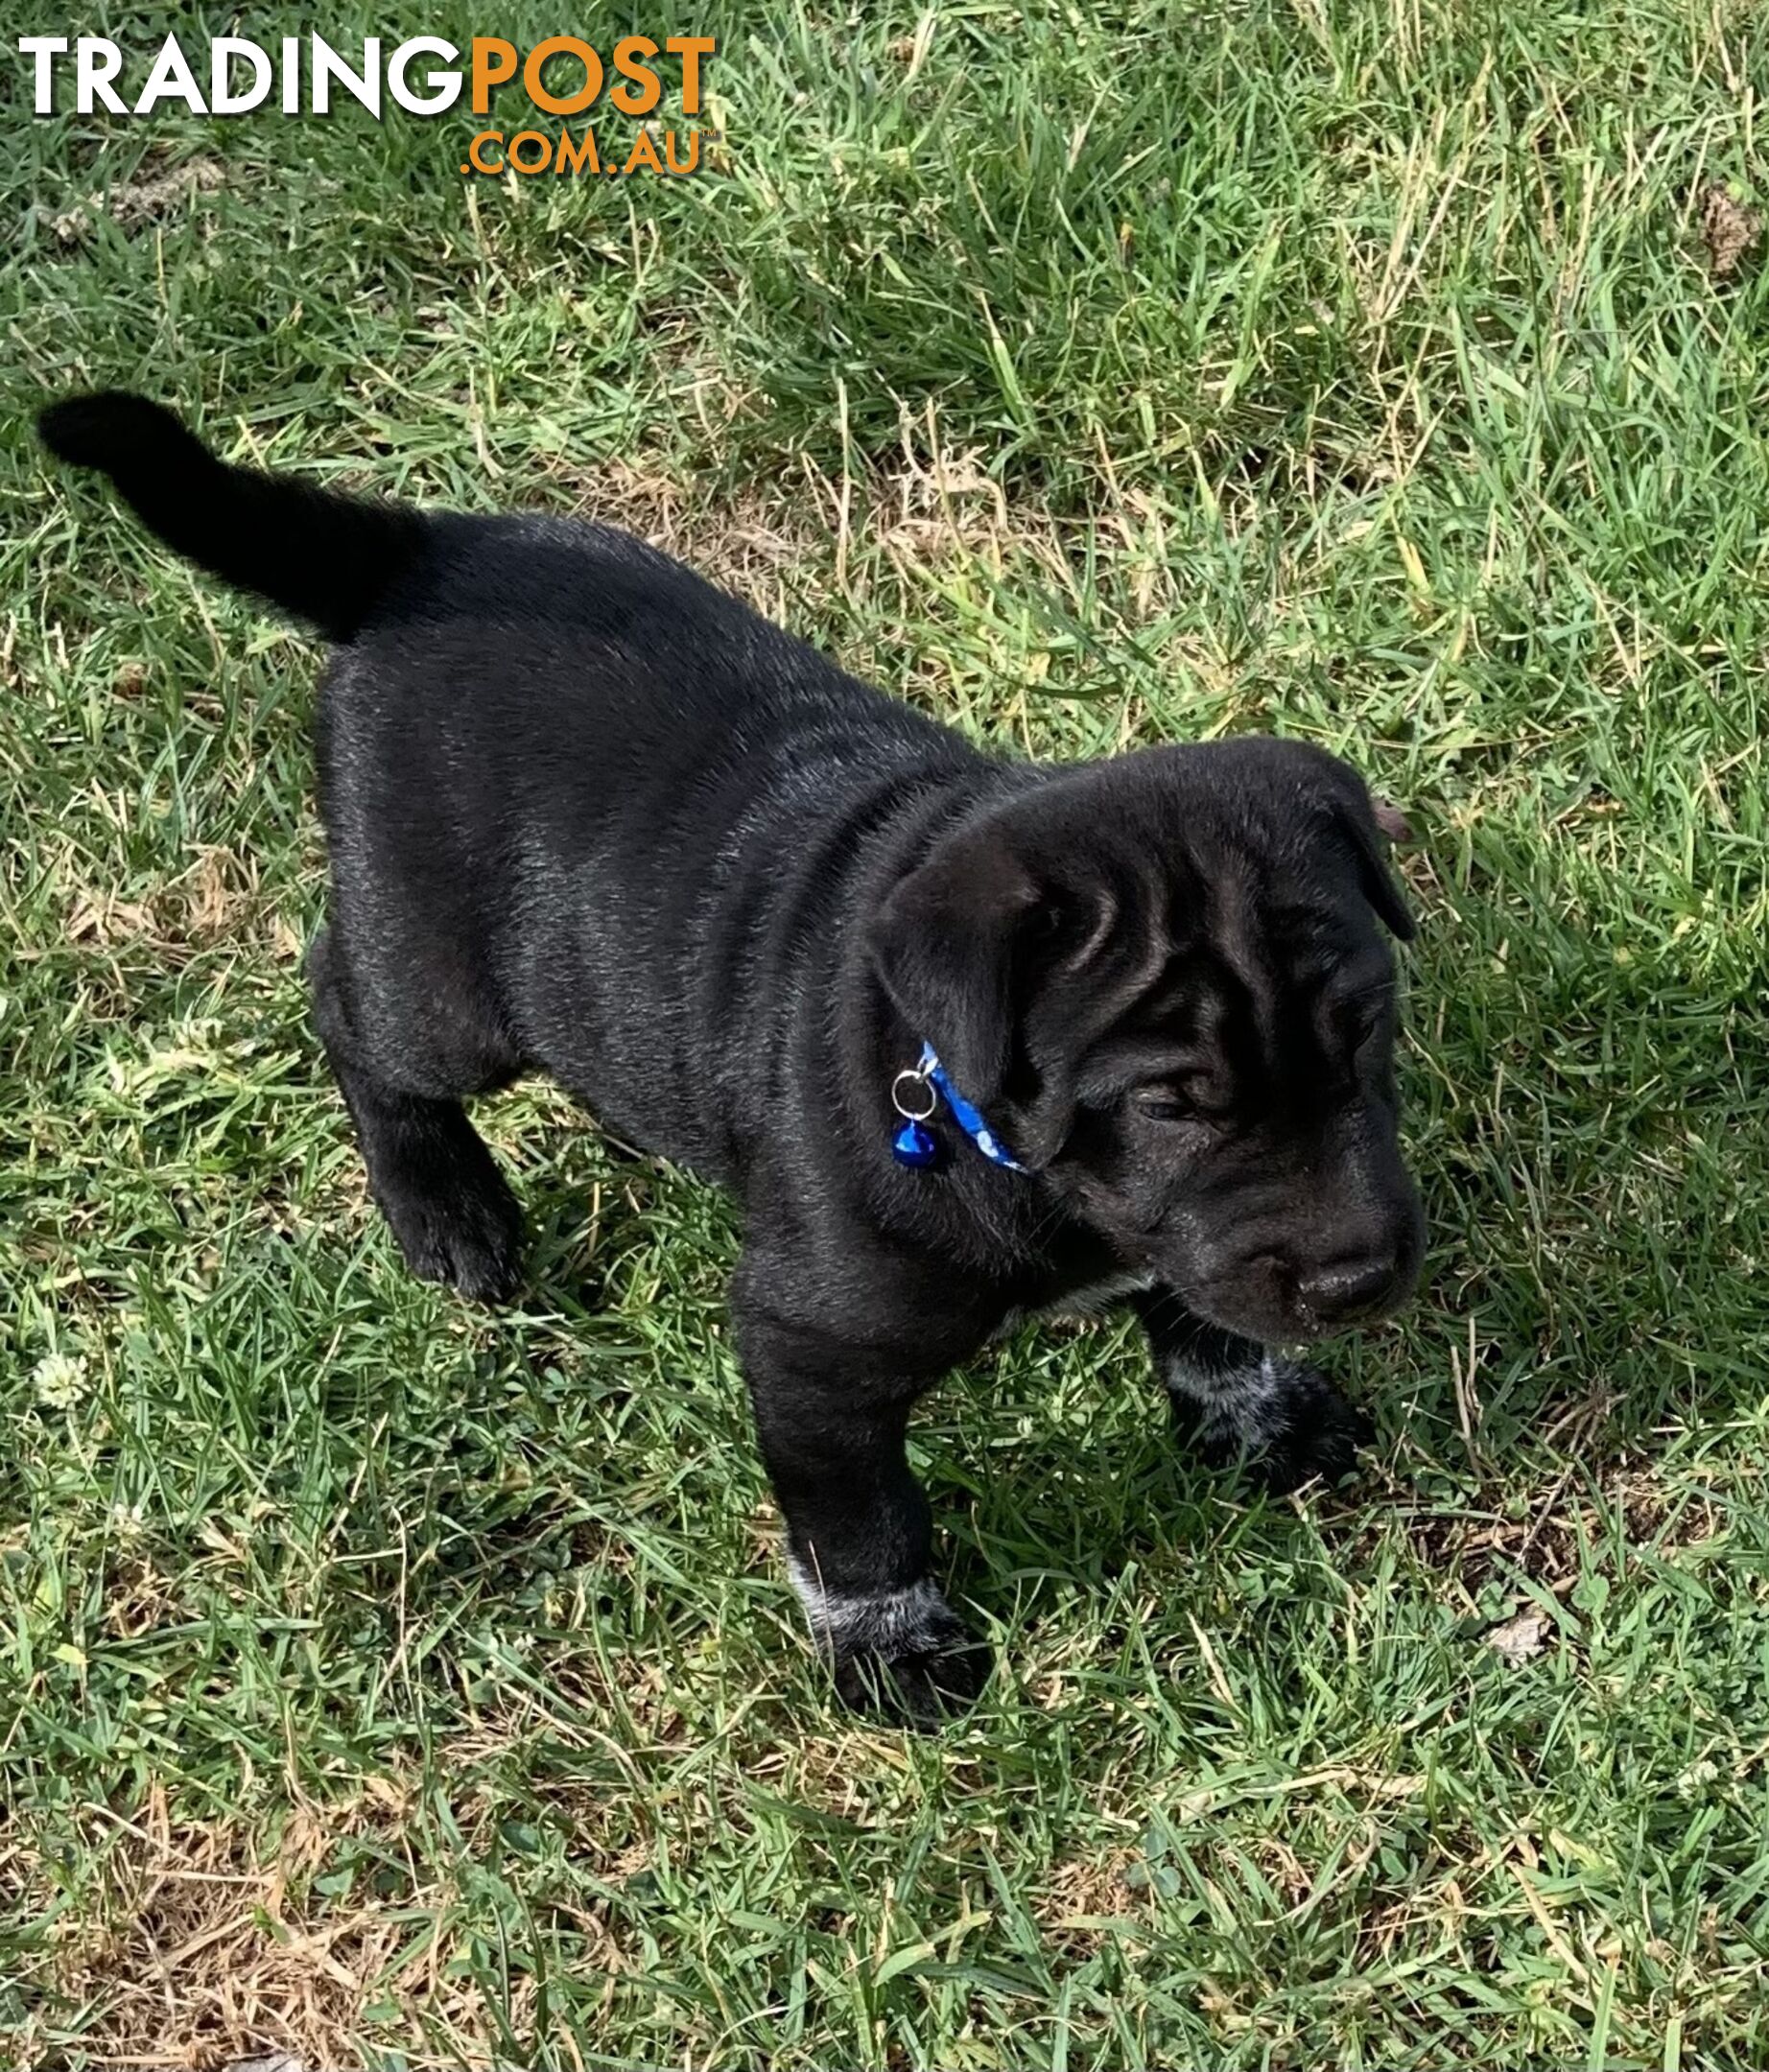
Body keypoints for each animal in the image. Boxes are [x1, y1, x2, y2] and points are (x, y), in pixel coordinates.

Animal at [37, 395, 1425, 1724]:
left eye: (1368, 1030)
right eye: (1173, 1102)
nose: (1361, 1279)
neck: (958, 1107)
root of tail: (416, 554)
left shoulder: (1181, 1240)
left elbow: (1204, 1319)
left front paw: (1258, 1418)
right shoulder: (809, 1351)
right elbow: (860, 1522)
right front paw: (893, 1651)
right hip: (447, 990)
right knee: (346, 1008)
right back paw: (446, 1211)